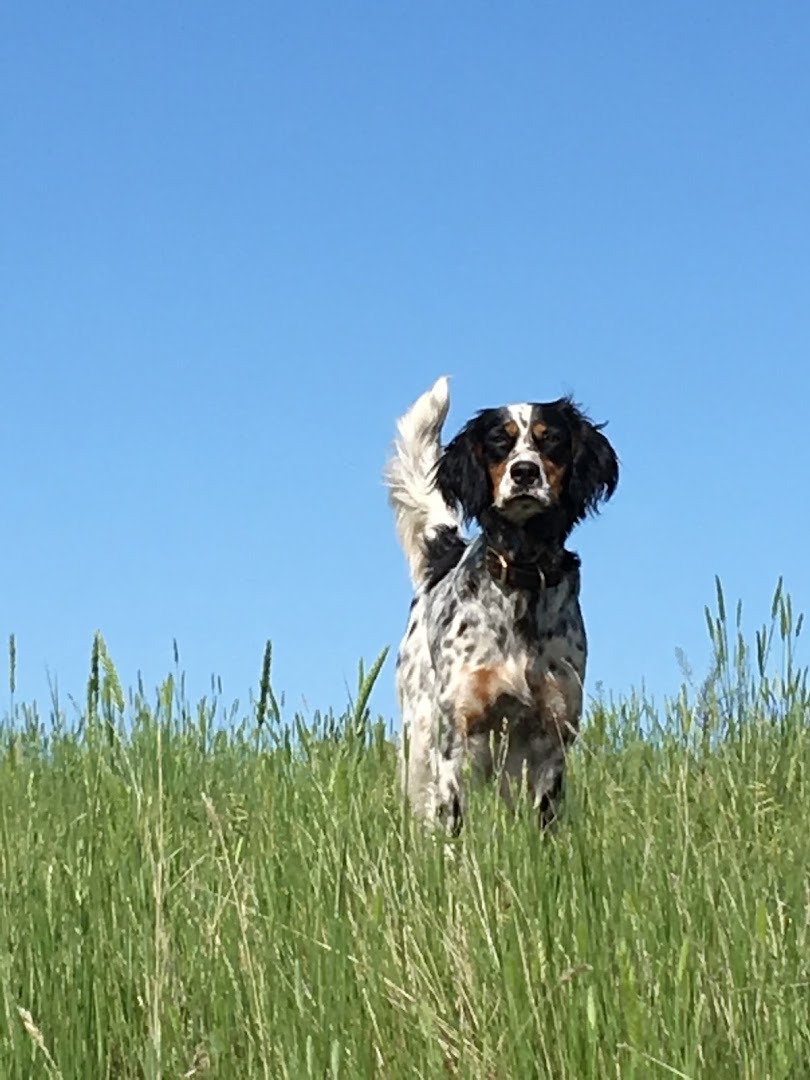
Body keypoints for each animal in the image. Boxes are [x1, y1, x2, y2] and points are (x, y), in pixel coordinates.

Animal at [386, 375, 622, 829]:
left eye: (551, 440)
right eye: (500, 440)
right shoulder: (456, 733)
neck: (522, 578)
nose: (524, 471)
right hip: (420, 736)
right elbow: (451, 821)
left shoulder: (553, 733)